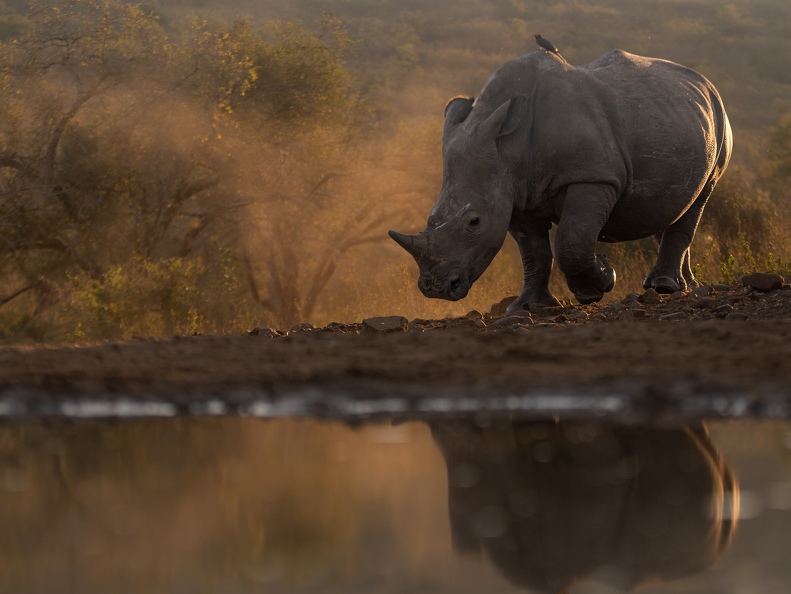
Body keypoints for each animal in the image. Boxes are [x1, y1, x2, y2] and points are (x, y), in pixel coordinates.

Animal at [390, 50, 732, 311]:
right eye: (431, 218)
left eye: (474, 222)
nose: (435, 289)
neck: (508, 146)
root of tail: (704, 82)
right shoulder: (514, 194)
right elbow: (534, 252)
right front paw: (528, 307)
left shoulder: (592, 177)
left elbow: (572, 240)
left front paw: (600, 282)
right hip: (676, 117)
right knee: (673, 204)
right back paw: (685, 286)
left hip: (719, 119)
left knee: (701, 195)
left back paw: (665, 288)